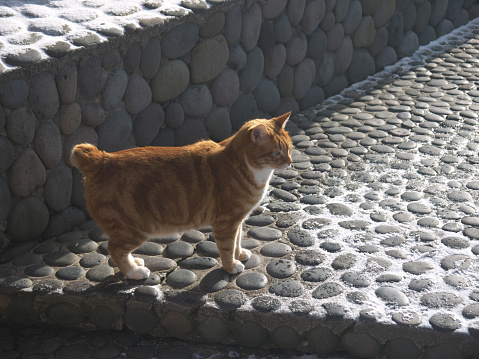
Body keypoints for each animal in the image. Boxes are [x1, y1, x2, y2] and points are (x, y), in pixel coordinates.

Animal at [71, 112, 292, 282]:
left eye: (289, 149)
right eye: (276, 153)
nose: (290, 162)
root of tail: (101, 160)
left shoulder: (238, 220)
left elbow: (238, 240)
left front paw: (240, 254)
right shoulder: (226, 222)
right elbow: (227, 247)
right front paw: (231, 266)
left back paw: (135, 263)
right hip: (133, 229)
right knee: (114, 249)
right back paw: (134, 272)